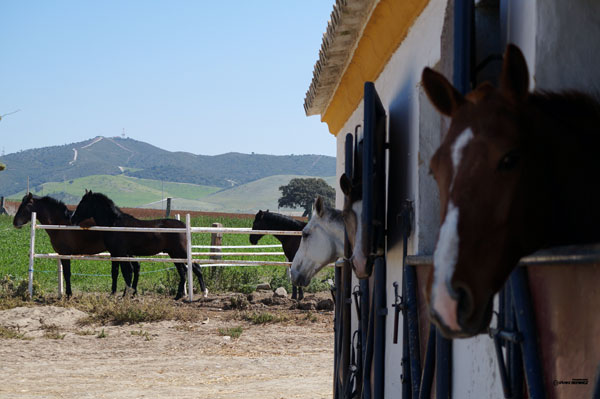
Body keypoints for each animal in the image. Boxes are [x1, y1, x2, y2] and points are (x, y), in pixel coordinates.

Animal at [14, 194, 142, 296]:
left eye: (26, 206)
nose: (15, 222)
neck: (61, 224)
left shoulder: (65, 254)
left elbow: (67, 274)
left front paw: (69, 294)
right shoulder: (61, 254)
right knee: (135, 267)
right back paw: (133, 292)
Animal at [69, 191, 206, 300]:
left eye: (82, 204)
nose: (72, 219)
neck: (115, 224)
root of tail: (184, 226)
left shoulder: (120, 253)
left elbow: (125, 272)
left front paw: (124, 295)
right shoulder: (118, 253)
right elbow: (117, 272)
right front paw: (117, 293)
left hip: (181, 252)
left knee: (196, 268)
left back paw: (203, 294)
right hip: (174, 254)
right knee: (183, 272)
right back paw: (178, 296)